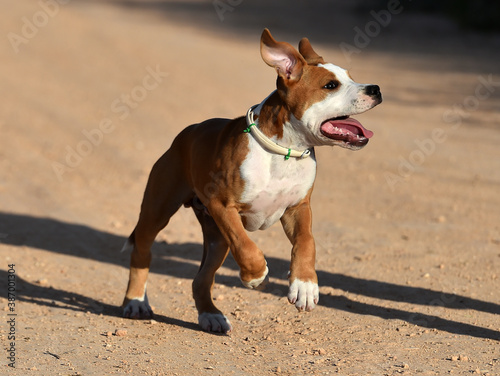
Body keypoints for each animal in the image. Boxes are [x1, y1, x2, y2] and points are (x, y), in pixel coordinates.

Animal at [122, 30, 382, 334]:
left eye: (350, 77)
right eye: (330, 85)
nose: (375, 89)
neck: (285, 150)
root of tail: (184, 135)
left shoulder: (298, 208)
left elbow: (307, 242)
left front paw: (305, 285)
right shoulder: (222, 205)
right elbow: (246, 247)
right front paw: (257, 276)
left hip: (216, 239)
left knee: (201, 279)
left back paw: (211, 315)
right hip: (158, 210)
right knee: (142, 252)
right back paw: (135, 302)